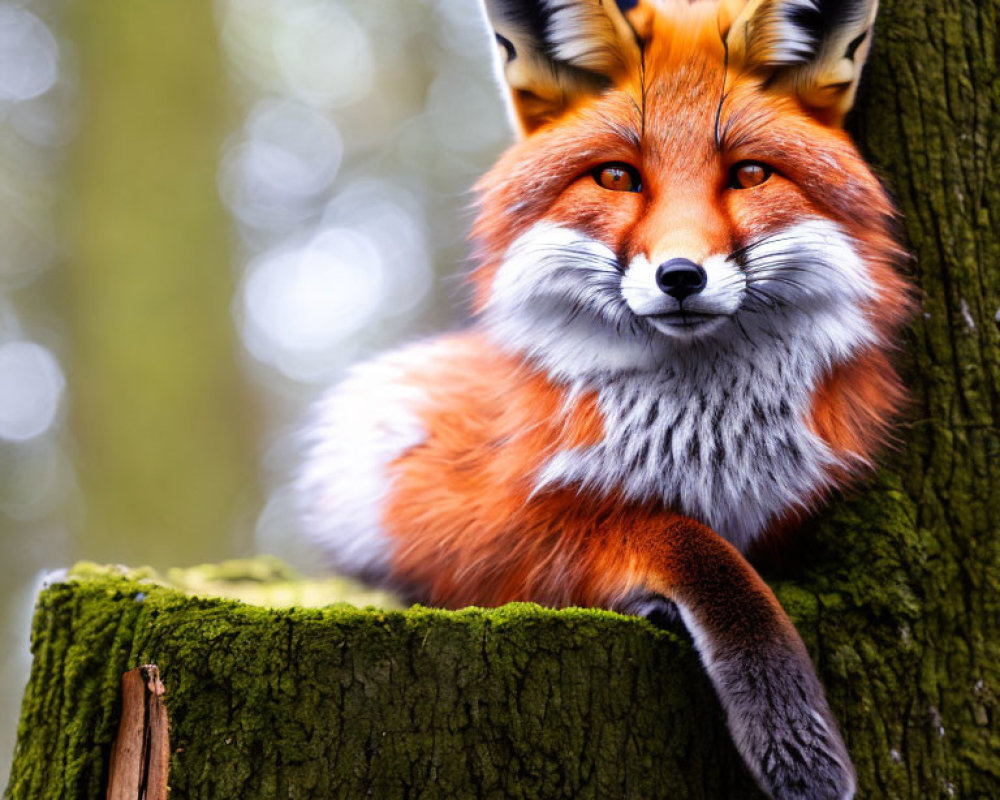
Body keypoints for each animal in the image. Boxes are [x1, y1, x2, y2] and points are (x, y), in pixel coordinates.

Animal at [294, 3, 916, 796]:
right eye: (617, 176)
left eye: (749, 174)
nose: (681, 276)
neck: (705, 449)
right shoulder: (471, 525)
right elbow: (685, 542)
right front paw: (788, 727)